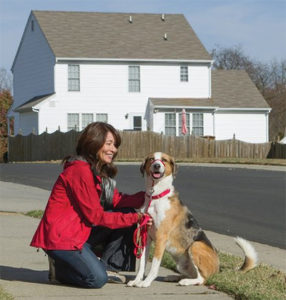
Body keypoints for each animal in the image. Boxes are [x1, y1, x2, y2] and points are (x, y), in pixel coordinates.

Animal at [127, 152, 256, 288]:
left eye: (164, 160)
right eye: (152, 159)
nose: (157, 165)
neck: (155, 195)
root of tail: (219, 268)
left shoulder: (161, 237)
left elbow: (154, 266)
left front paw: (146, 282)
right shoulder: (145, 237)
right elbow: (142, 264)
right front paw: (137, 280)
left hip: (195, 246)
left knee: (202, 279)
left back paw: (186, 282)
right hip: (181, 264)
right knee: (192, 274)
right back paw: (174, 277)